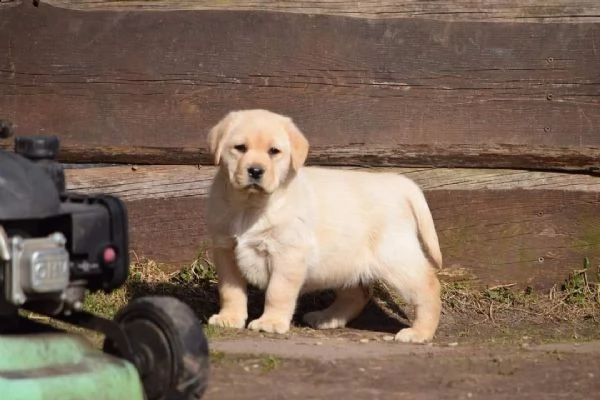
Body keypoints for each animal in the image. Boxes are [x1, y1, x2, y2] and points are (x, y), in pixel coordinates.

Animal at [205, 109, 440, 344]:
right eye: (240, 148)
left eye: (274, 151)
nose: (255, 170)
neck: (249, 206)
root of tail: (398, 182)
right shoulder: (226, 250)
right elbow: (230, 290)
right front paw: (229, 317)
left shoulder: (287, 255)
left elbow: (277, 292)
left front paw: (270, 322)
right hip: (345, 261)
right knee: (358, 294)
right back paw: (327, 318)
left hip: (395, 258)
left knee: (429, 287)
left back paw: (419, 333)